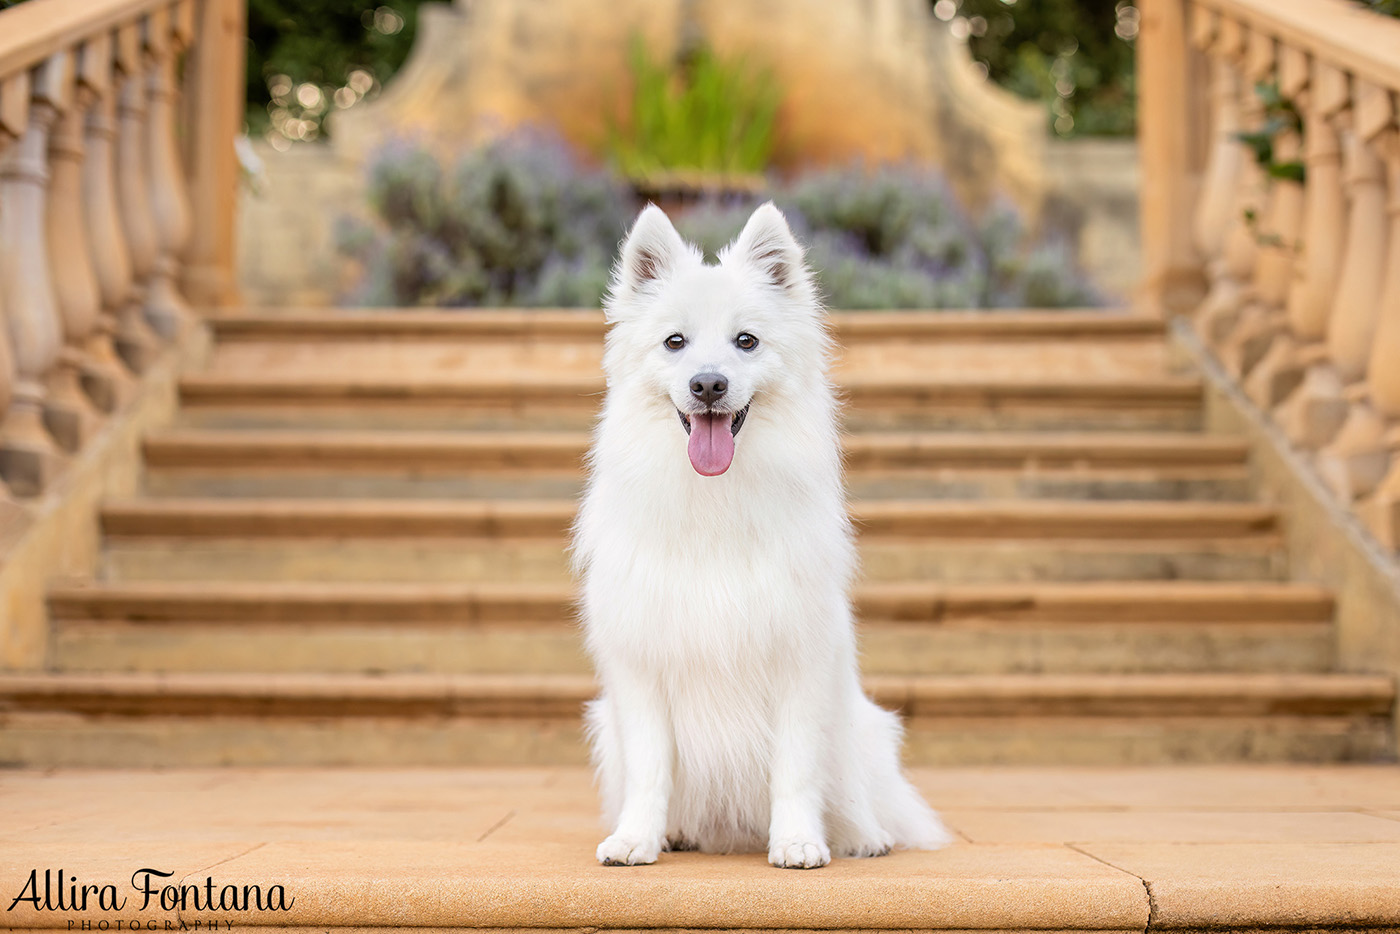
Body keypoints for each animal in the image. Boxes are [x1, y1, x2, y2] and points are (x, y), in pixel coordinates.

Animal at [568, 203, 952, 868]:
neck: (715, 500)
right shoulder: (642, 668)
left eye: (746, 341)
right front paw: (636, 839)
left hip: (864, 728)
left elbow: (794, 770)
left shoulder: (798, 661)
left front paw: (797, 842)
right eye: (675, 342)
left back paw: (861, 836)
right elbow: (650, 770)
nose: (708, 385)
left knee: (855, 795)